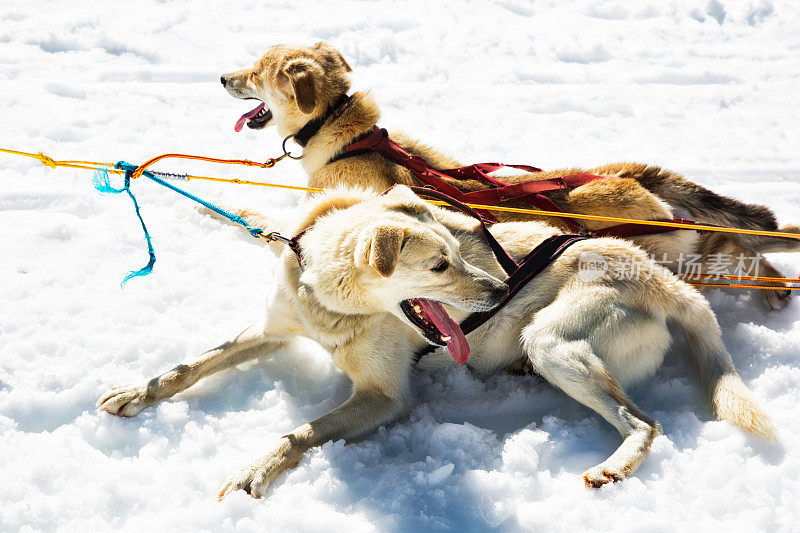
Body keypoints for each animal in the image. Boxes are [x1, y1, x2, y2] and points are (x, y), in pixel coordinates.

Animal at [95, 184, 776, 498]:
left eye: (461, 248)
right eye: (440, 265)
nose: (501, 287)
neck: (331, 307)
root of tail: (661, 277)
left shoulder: (382, 396)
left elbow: (298, 433)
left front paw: (252, 472)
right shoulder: (270, 329)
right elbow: (190, 365)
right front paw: (136, 392)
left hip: (553, 342)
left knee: (644, 423)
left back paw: (614, 466)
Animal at [220, 43, 800, 310]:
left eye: (256, 71)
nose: (223, 76)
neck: (343, 132)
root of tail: (620, 173)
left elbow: (271, 224)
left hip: (663, 248)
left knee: (728, 245)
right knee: (731, 241)